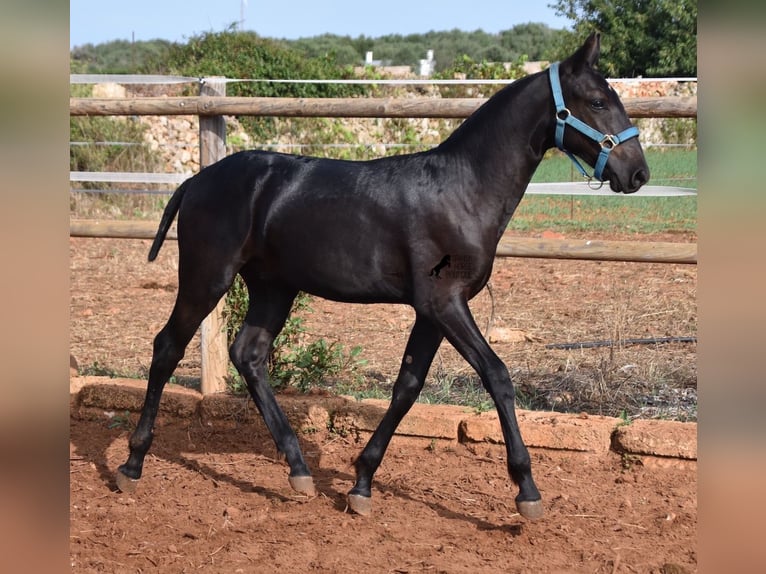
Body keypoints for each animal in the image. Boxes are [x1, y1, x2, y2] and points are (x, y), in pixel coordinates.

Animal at [117, 33, 652, 524]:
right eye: (598, 101)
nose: (639, 174)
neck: (463, 189)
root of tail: (196, 180)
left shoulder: (433, 312)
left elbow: (407, 387)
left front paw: (361, 483)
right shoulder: (444, 303)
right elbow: (497, 376)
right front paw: (527, 491)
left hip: (274, 287)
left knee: (248, 354)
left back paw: (299, 470)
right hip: (207, 277)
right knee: (167, 347)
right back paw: (131, 464)